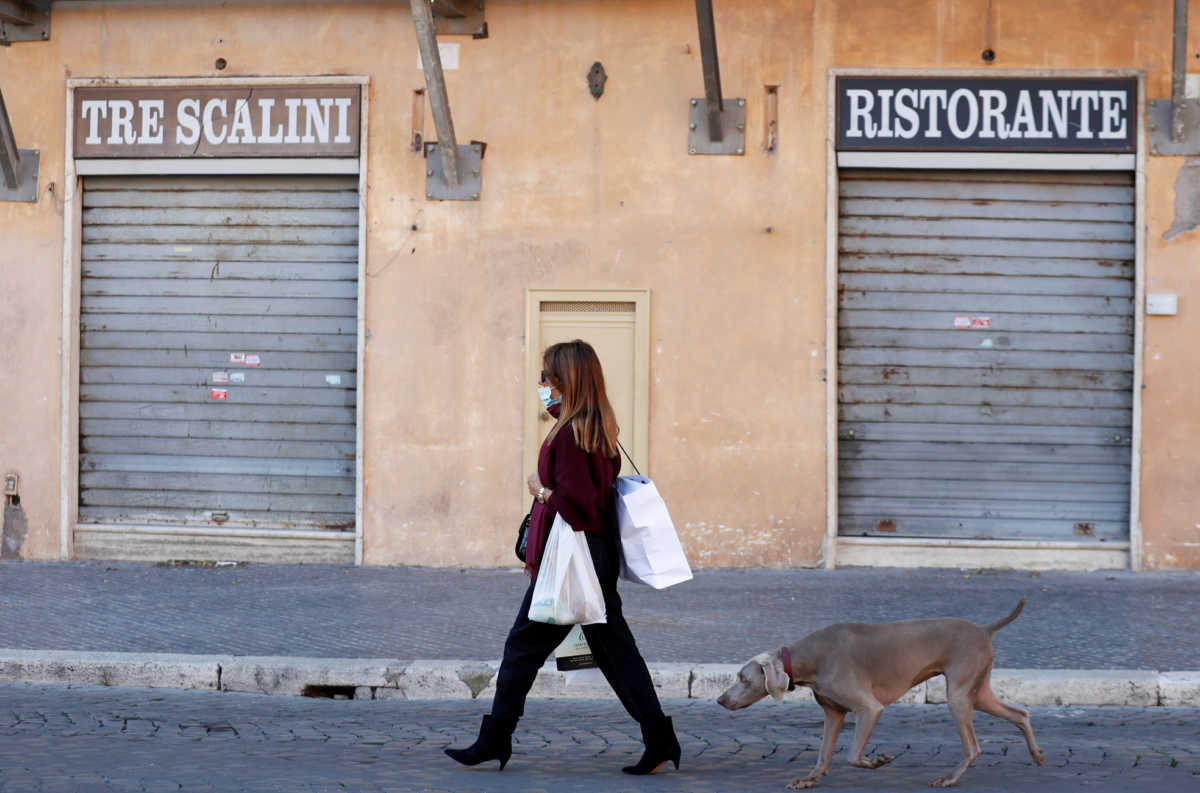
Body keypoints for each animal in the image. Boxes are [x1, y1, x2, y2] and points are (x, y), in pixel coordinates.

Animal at [715, 597, 1046, 787]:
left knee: (974, 746)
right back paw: (1037, 755)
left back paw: (950, 778)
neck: (810, 657)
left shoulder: (868, 709)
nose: (720, 699)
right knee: (1020, 713)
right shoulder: (834, 712)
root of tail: (983, 629)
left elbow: (852, 755)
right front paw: (809, 779)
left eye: (743, 678)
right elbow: (823, 753)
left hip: (959, 694)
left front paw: (878, 761)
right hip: (977, 691)